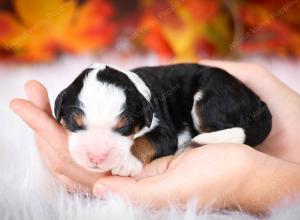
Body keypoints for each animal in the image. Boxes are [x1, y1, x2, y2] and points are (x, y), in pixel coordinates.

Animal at [54, 62, 272, 176]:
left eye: (124, 127)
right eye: (74, 123)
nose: (96, 157)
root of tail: (259, 103)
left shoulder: (163, 129)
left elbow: (146, 140)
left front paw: (127, 162)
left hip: (211, 101)